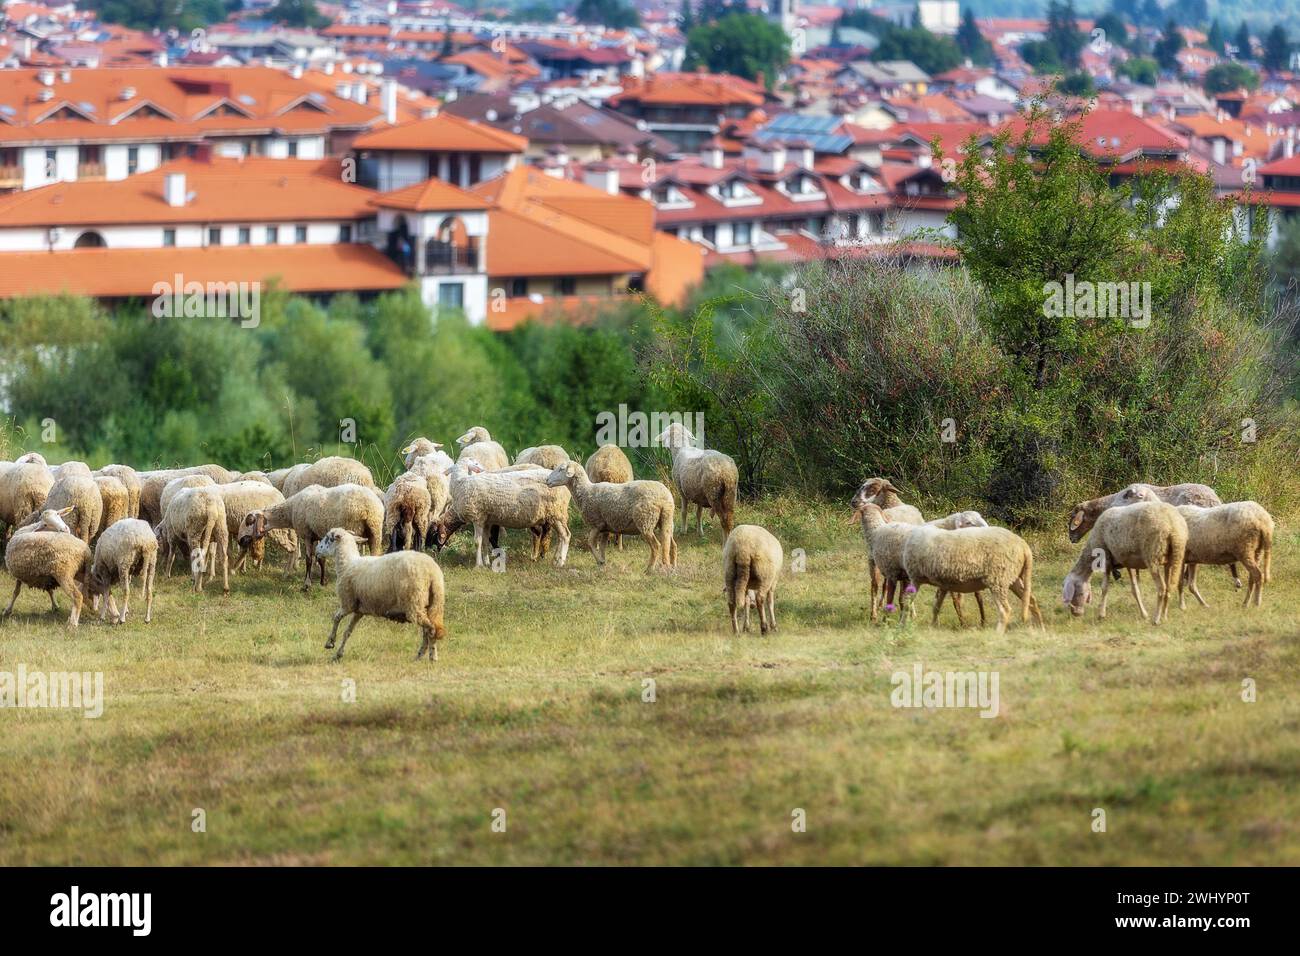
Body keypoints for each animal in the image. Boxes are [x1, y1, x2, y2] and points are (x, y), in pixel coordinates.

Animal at [240, 483, 384, 589]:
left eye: (249, 521)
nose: (240, 541)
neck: (290, 510)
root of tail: (369, 507)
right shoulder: (317, 535)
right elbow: (321, 559)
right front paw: (323, 581)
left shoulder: (307, 535)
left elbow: (309, 559)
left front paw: (306, 584)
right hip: (375, 532)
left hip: (353, 529)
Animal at [315, 528, 447, 662]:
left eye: (328, 538)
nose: (316, 550)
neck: (347, 564)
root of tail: (432, 572)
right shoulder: (359, 610)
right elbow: (348, 631)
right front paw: (338, 653)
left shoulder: (348, 603)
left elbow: (335, 618)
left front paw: (330, 643)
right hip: (433, 603)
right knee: (428, 630)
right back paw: (420, 656)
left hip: (414, 602)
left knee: (431, 629)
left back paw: (432, 657)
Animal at [545, 461, 676, 572]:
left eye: (561, 469)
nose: (547, 480)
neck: (586, 492)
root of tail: (665, 498)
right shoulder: (606, 527)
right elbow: (603, 546)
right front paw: (602, 563)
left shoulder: (597, 524)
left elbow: (591, 543)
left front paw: (600, 561)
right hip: (666, 520)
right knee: (671, 543)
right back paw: (671, 567)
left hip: (646, 520)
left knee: (656, 545)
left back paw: (649, 569)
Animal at [903, 524, 1044, 633]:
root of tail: (1024, 546)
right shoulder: (943, 584)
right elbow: (936, 606)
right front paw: (932, 626)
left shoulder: (915, 578)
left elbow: (907, 604)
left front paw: (902, 623)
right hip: (1012, 578)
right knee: (1032, 600)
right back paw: (1040, 629)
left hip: (998, 578)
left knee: (1005, 610)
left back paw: (997, 634)